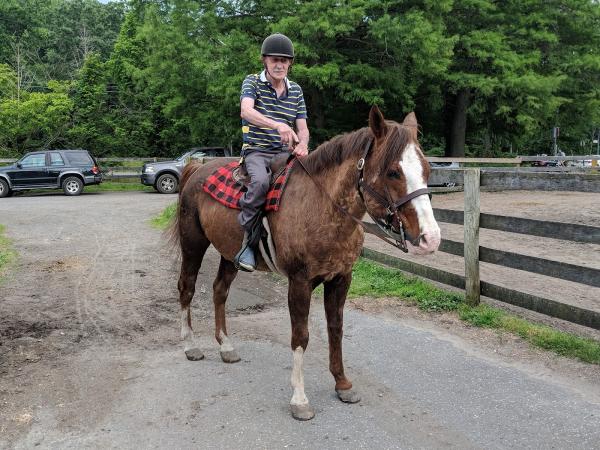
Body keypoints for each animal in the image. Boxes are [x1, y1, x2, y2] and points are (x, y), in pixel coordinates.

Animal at [170, 106, 440, 422]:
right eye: (393, 172)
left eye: (427, 169)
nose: (431, 239)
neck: (321, 207)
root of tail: (195, 170)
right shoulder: (299, 282)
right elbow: (301, 336)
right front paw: (299, 399)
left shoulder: (341, 278)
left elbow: (336, 329)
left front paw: (343, 384)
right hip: (193, 244)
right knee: (187, 288)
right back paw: (191, 346)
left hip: (229, 254)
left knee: (219, 291)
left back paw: (226, 346)